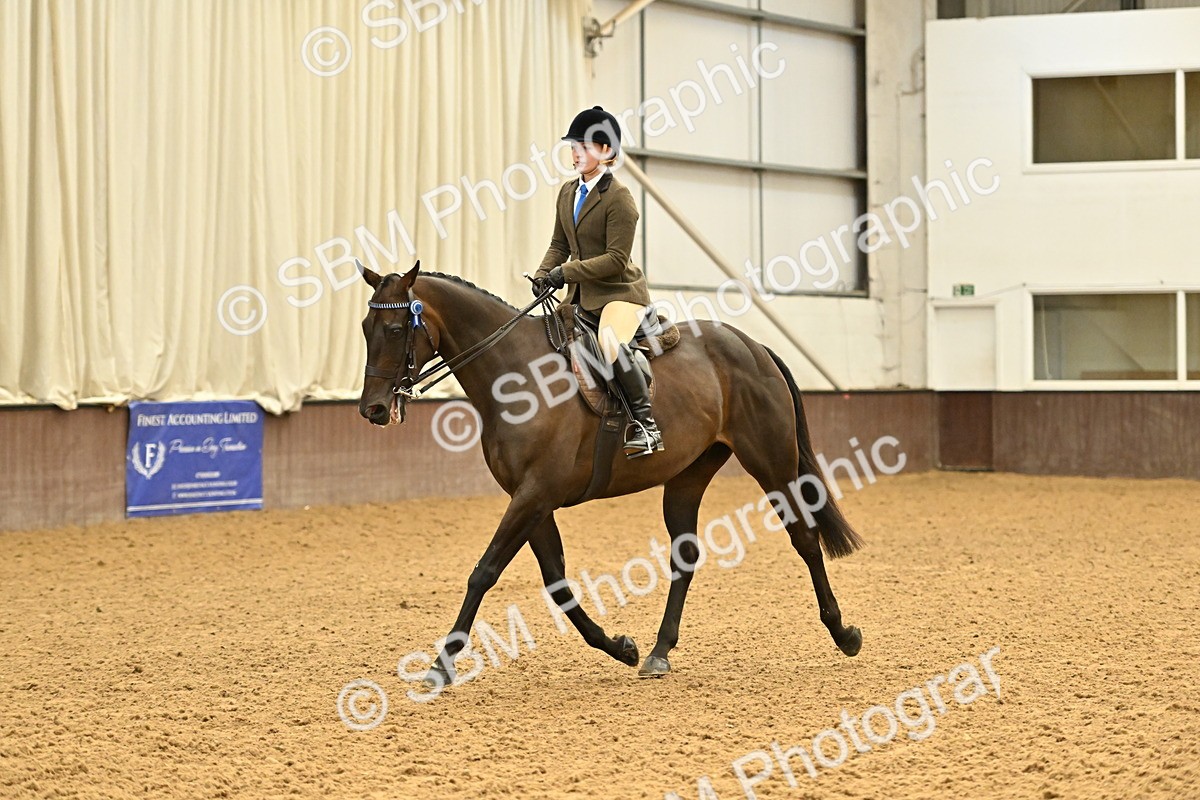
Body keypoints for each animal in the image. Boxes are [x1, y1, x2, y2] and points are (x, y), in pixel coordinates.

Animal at [357, 262, 864, 686]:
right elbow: (557, 582)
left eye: (397, 329)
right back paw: (658, 652)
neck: (515, 376)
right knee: (685, 555)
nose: (373, 410)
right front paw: (620, 647)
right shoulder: (532, 499)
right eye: (365, 328)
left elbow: (484, 572)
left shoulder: (535, 494)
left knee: (805, 538)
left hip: (772, 463)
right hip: (688, 475)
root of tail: (753, 346)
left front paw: (441, 666)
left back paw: (843, 633)